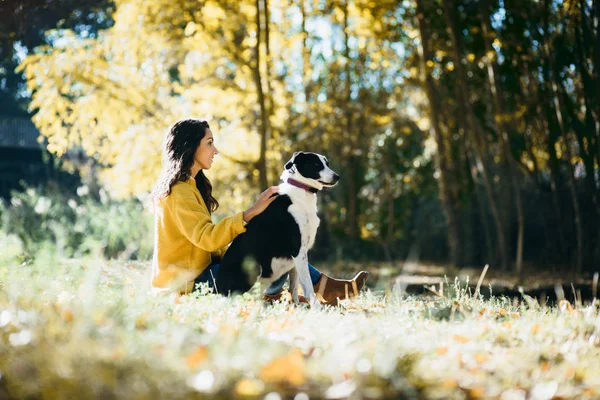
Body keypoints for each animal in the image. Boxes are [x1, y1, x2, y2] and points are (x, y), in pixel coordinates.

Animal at [216, 152, 340, 304]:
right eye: (316, 164)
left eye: (327, 164)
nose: (337, 177)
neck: (301, 191)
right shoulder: (298, 251)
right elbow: (308, 287)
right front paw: (316, 307)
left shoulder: (297, 258)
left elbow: (294, 288)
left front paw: (296, 307)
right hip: (254, 267)